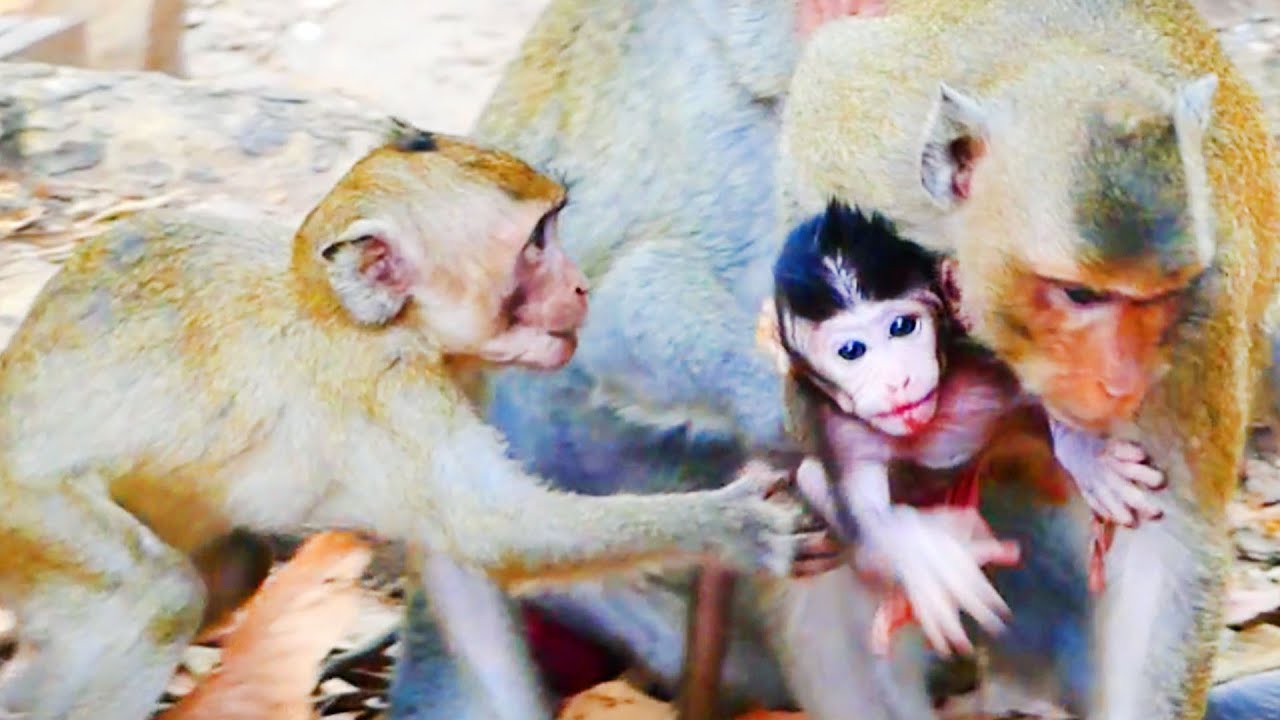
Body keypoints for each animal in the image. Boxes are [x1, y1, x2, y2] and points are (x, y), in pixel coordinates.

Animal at [0, 119, 822, 720]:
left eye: (553, 229)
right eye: (536, 244)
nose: (581, 287)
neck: (373, 319)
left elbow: (461, 563)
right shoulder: (391, 389)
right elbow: (498, 533)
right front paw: (735, 529)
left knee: (234, 567)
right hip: (27, 514)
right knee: (155, 597)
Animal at [776, 0, 1280, 716]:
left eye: (1157, 298)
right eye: (1081, 295)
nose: (1121, 382)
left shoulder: (1205, 318)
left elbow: (1170, 555)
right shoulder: (857, 153)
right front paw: (897, 537)